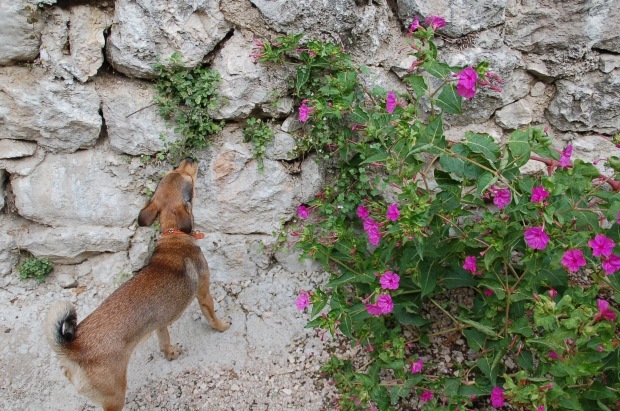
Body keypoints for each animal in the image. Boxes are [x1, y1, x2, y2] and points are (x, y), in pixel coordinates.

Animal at [45, 159, 230, 411]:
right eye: (187, 179)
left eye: (175, 170)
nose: (189, 159)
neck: (173, 235)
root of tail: (73, 349)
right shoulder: (204, 294)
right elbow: (212, 316)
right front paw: (222, 326)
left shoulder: (160, 324)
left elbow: (164, 340)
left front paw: (170, 353)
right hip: (115, 397)